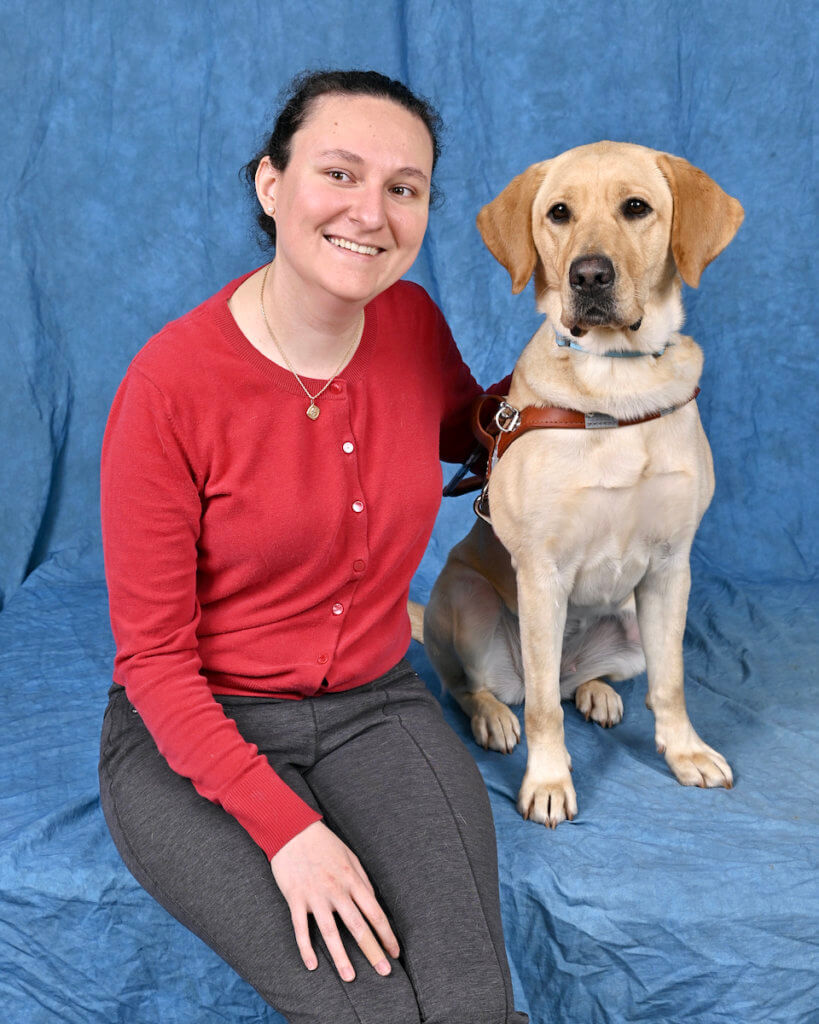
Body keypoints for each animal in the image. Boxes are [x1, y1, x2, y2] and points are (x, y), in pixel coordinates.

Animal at [421, 140, 741, 827]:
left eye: (637, 207)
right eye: (559, 213)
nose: (589, 275)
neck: (618, 386)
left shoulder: (672, 568)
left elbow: (671, 683)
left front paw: (686, 752)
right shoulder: (543, 574)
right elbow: (543, 710)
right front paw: (548, 782)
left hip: (632, 624)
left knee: (575, 685)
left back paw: (595, 692)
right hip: (467, 597)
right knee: (482, 687)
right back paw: (493, 715)